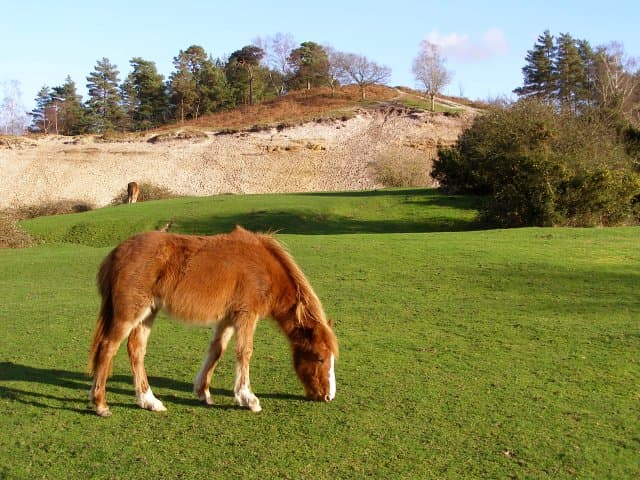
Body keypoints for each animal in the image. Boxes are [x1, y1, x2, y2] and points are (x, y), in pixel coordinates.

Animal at [88, 226, 338, 417]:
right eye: (320, 357)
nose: (328, 396)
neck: (263, 267)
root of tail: (116, 253)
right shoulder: (246, 315)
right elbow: (244, 352)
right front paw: (248, 398)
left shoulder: (227, 318)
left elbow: (216, 350)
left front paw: (203, 393)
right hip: (129, 314)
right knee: (107, 348)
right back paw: (101, 404)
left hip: (148, 313)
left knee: (136, 350)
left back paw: (149, 401)